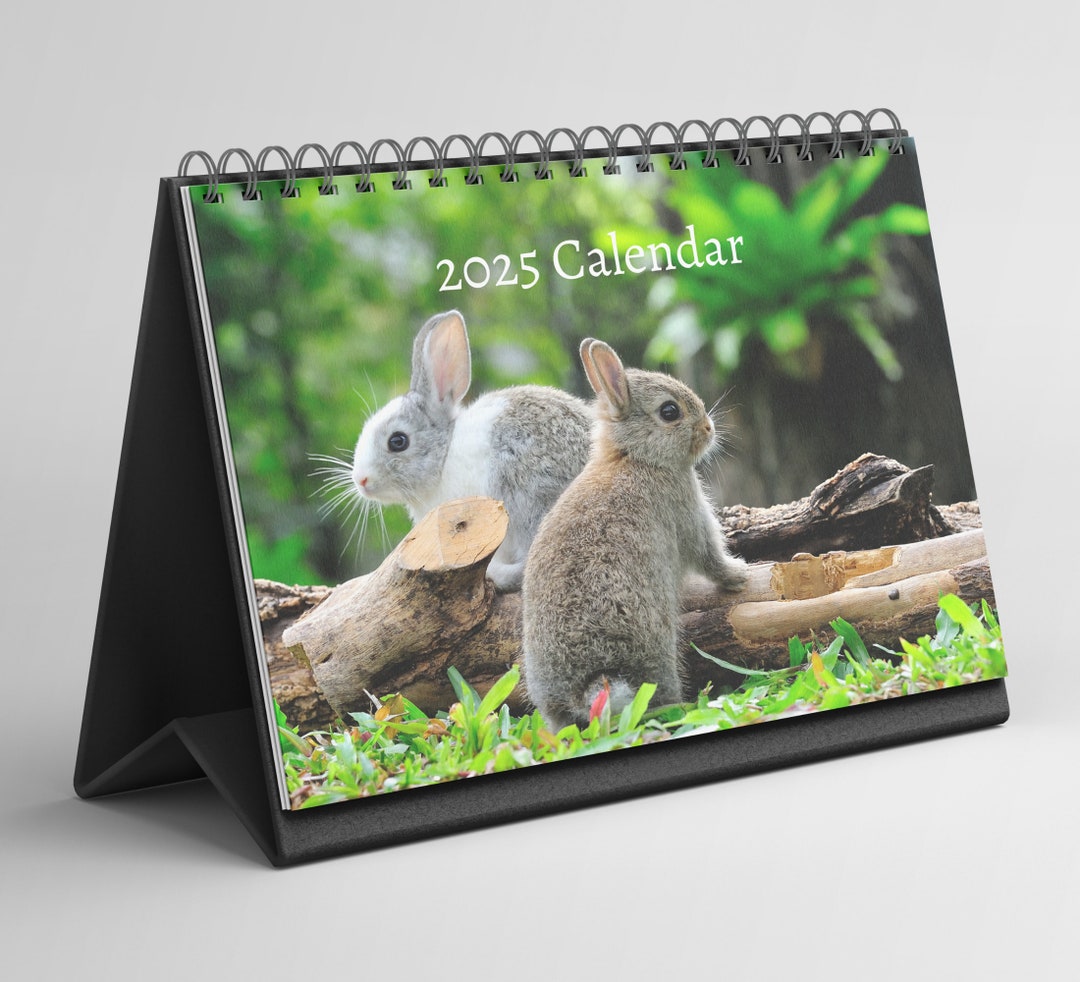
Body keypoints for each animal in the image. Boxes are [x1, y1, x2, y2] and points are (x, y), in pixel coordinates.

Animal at [521, 338, 749, 730]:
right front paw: (739, 575)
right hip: (656, 651)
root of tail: (585, 686)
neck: (635, 457)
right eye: (670, 412)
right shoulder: (687, 513)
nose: (708, 428)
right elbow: (709, 557)